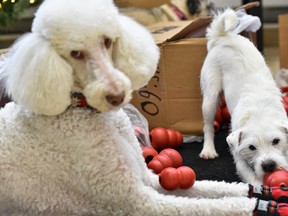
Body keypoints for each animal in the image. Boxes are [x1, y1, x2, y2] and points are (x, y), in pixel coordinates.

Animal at [199, 8, 288, 184]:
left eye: (276, 141)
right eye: (251, 147)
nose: (269, 165)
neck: (260, 112)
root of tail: (222, 37)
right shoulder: (239, 159)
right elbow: (252, 179)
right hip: (210, 98)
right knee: (208, 126)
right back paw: (208, 150)